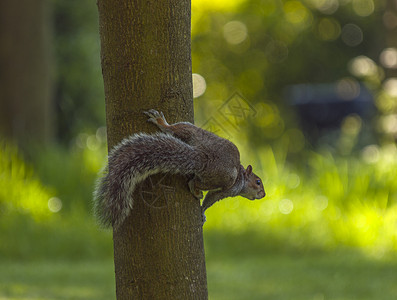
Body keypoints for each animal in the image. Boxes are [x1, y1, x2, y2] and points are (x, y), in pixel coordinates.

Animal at [93, 109, 264, 229]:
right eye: (258, 182)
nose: (263, 195)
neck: (242, 177)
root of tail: (202, 158)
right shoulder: (229, 190)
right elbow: (211, 198)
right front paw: (202, 211)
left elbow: (210, 200)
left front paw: (202, 214)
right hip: (224, 176)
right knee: (194, 178)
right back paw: (162, 122)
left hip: (194, 133)